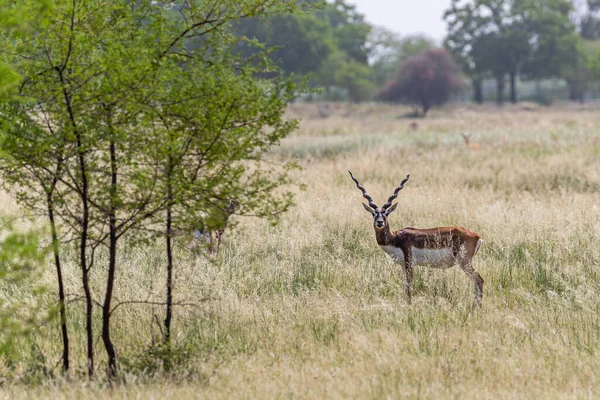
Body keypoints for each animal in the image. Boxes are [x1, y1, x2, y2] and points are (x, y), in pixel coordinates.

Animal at [350, 172, 486, 306]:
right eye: (374, 213)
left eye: (386, 213)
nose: (380, 222)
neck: (395, 238)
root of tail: (476, 236)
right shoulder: (403, 265)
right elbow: (405, 286)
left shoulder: (410, 263)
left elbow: (409, 288)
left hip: (464, 262)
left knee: (479, 280)